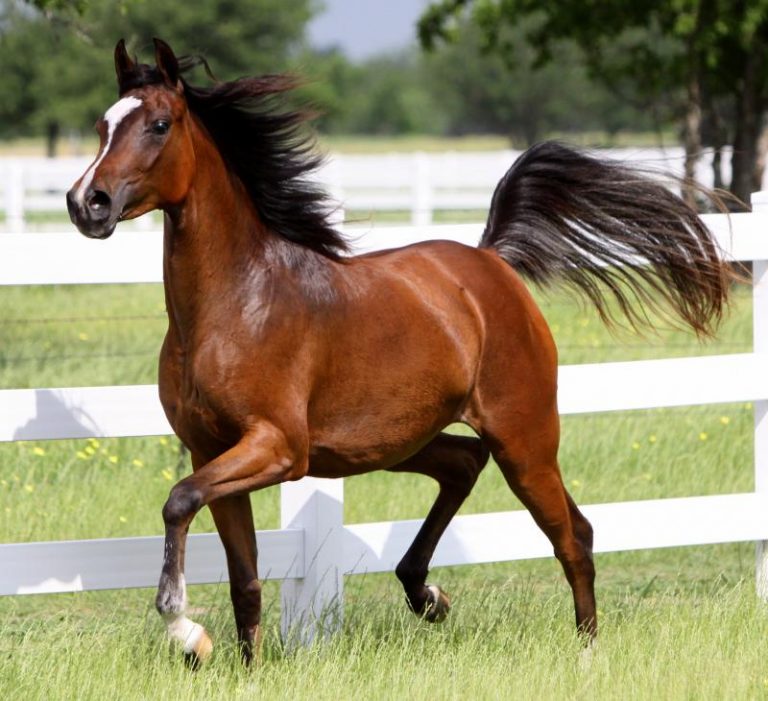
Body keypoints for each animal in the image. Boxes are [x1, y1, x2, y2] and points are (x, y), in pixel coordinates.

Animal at [66, 38, 730, 666]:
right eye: (102, 124)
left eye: (159, 124)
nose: (86, 203)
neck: (236, 305)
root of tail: (491, 261)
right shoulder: (214, 451)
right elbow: (243, 580)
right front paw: (227, 660)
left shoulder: (278, 447)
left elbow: (177, 501)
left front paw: (185, 633)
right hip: (401, 440)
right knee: (470, 468)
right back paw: (427, 595)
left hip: (524, 438)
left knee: (570, 535)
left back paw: (584, 651)